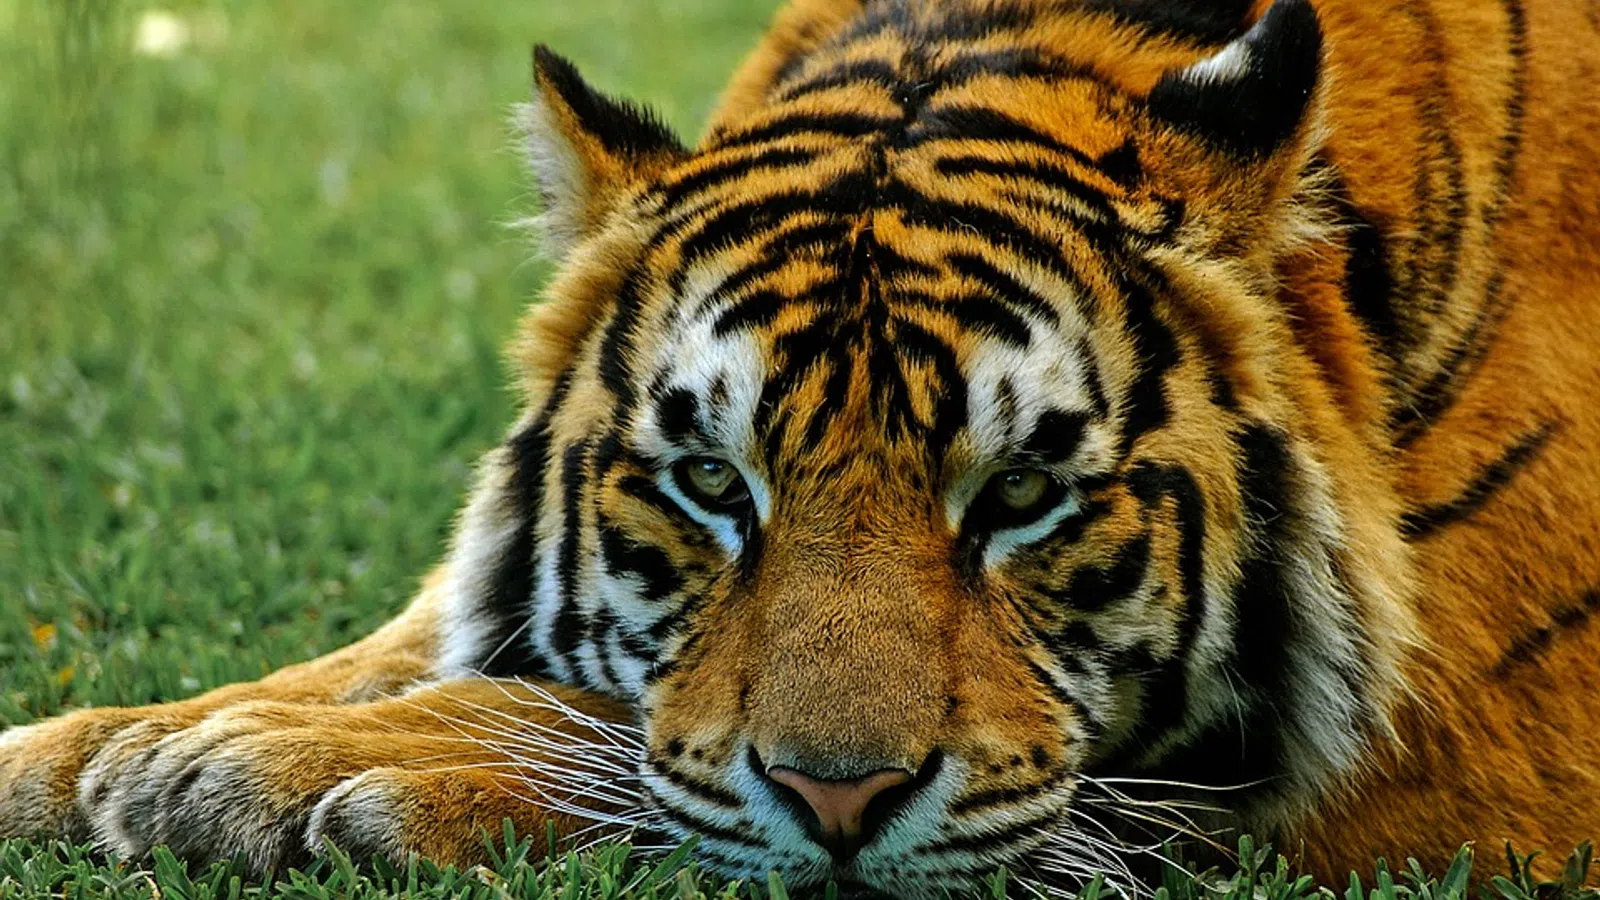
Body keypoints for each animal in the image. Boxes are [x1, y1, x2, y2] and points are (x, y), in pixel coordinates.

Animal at [3, 0, 1599, 894]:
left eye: (1023, 494)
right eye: (713, 483)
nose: (842, 805)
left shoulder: (1466, 752)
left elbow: (610, 726)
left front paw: (268, 767)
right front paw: (106, 746)